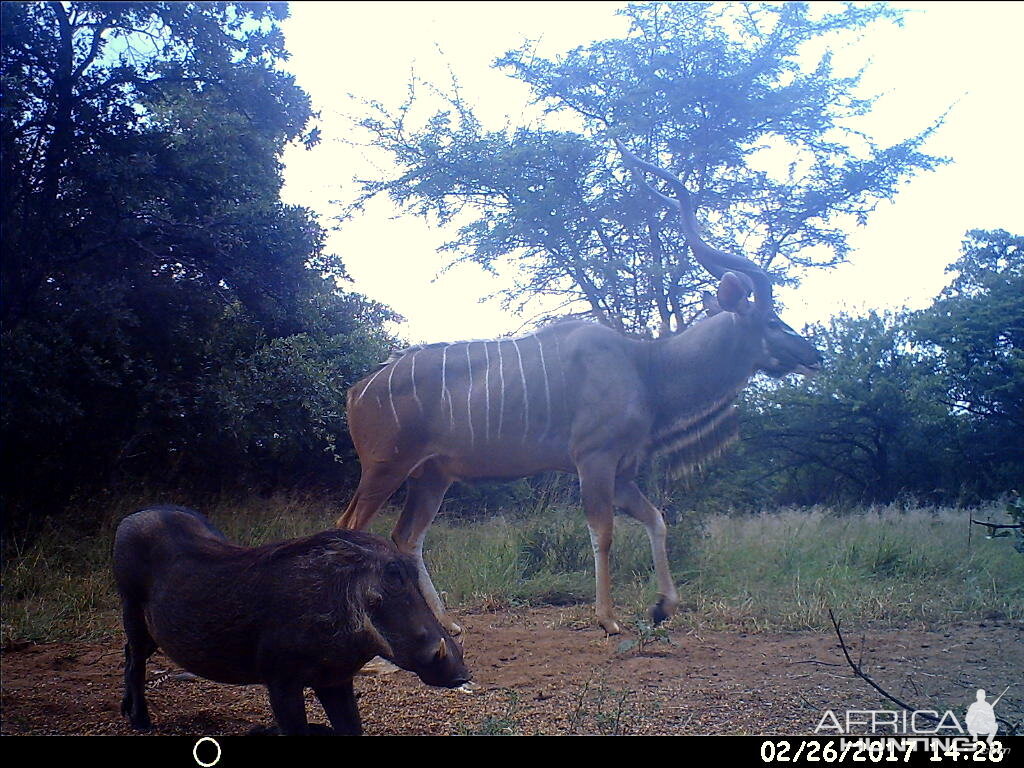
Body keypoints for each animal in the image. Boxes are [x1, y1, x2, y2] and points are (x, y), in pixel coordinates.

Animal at [339, 141, 819, 634]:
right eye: (772, 320)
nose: (814, 356)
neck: (646, 367)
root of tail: (358, 389)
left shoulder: (623, 472)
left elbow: (657, 520)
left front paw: (663, 606)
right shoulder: (595, 460)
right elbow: (603, 533)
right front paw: (608, 619)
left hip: (432, 477)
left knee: (406, 537)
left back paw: (447, 625)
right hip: (384, 468)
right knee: (353, 525)